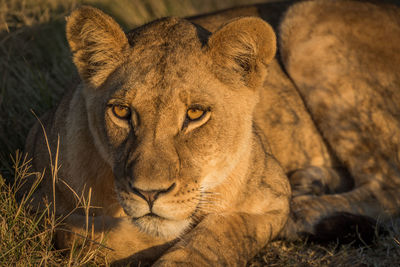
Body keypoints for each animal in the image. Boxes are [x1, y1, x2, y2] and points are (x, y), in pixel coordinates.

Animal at [23, 0, 400, 266]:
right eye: (121, 112)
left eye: (195, 114)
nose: (149, 193)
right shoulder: (35, 189)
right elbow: (75, 236)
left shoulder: (269, 198)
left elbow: (210, 242)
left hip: (309, 19)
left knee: (388, 188)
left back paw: (306, 211)